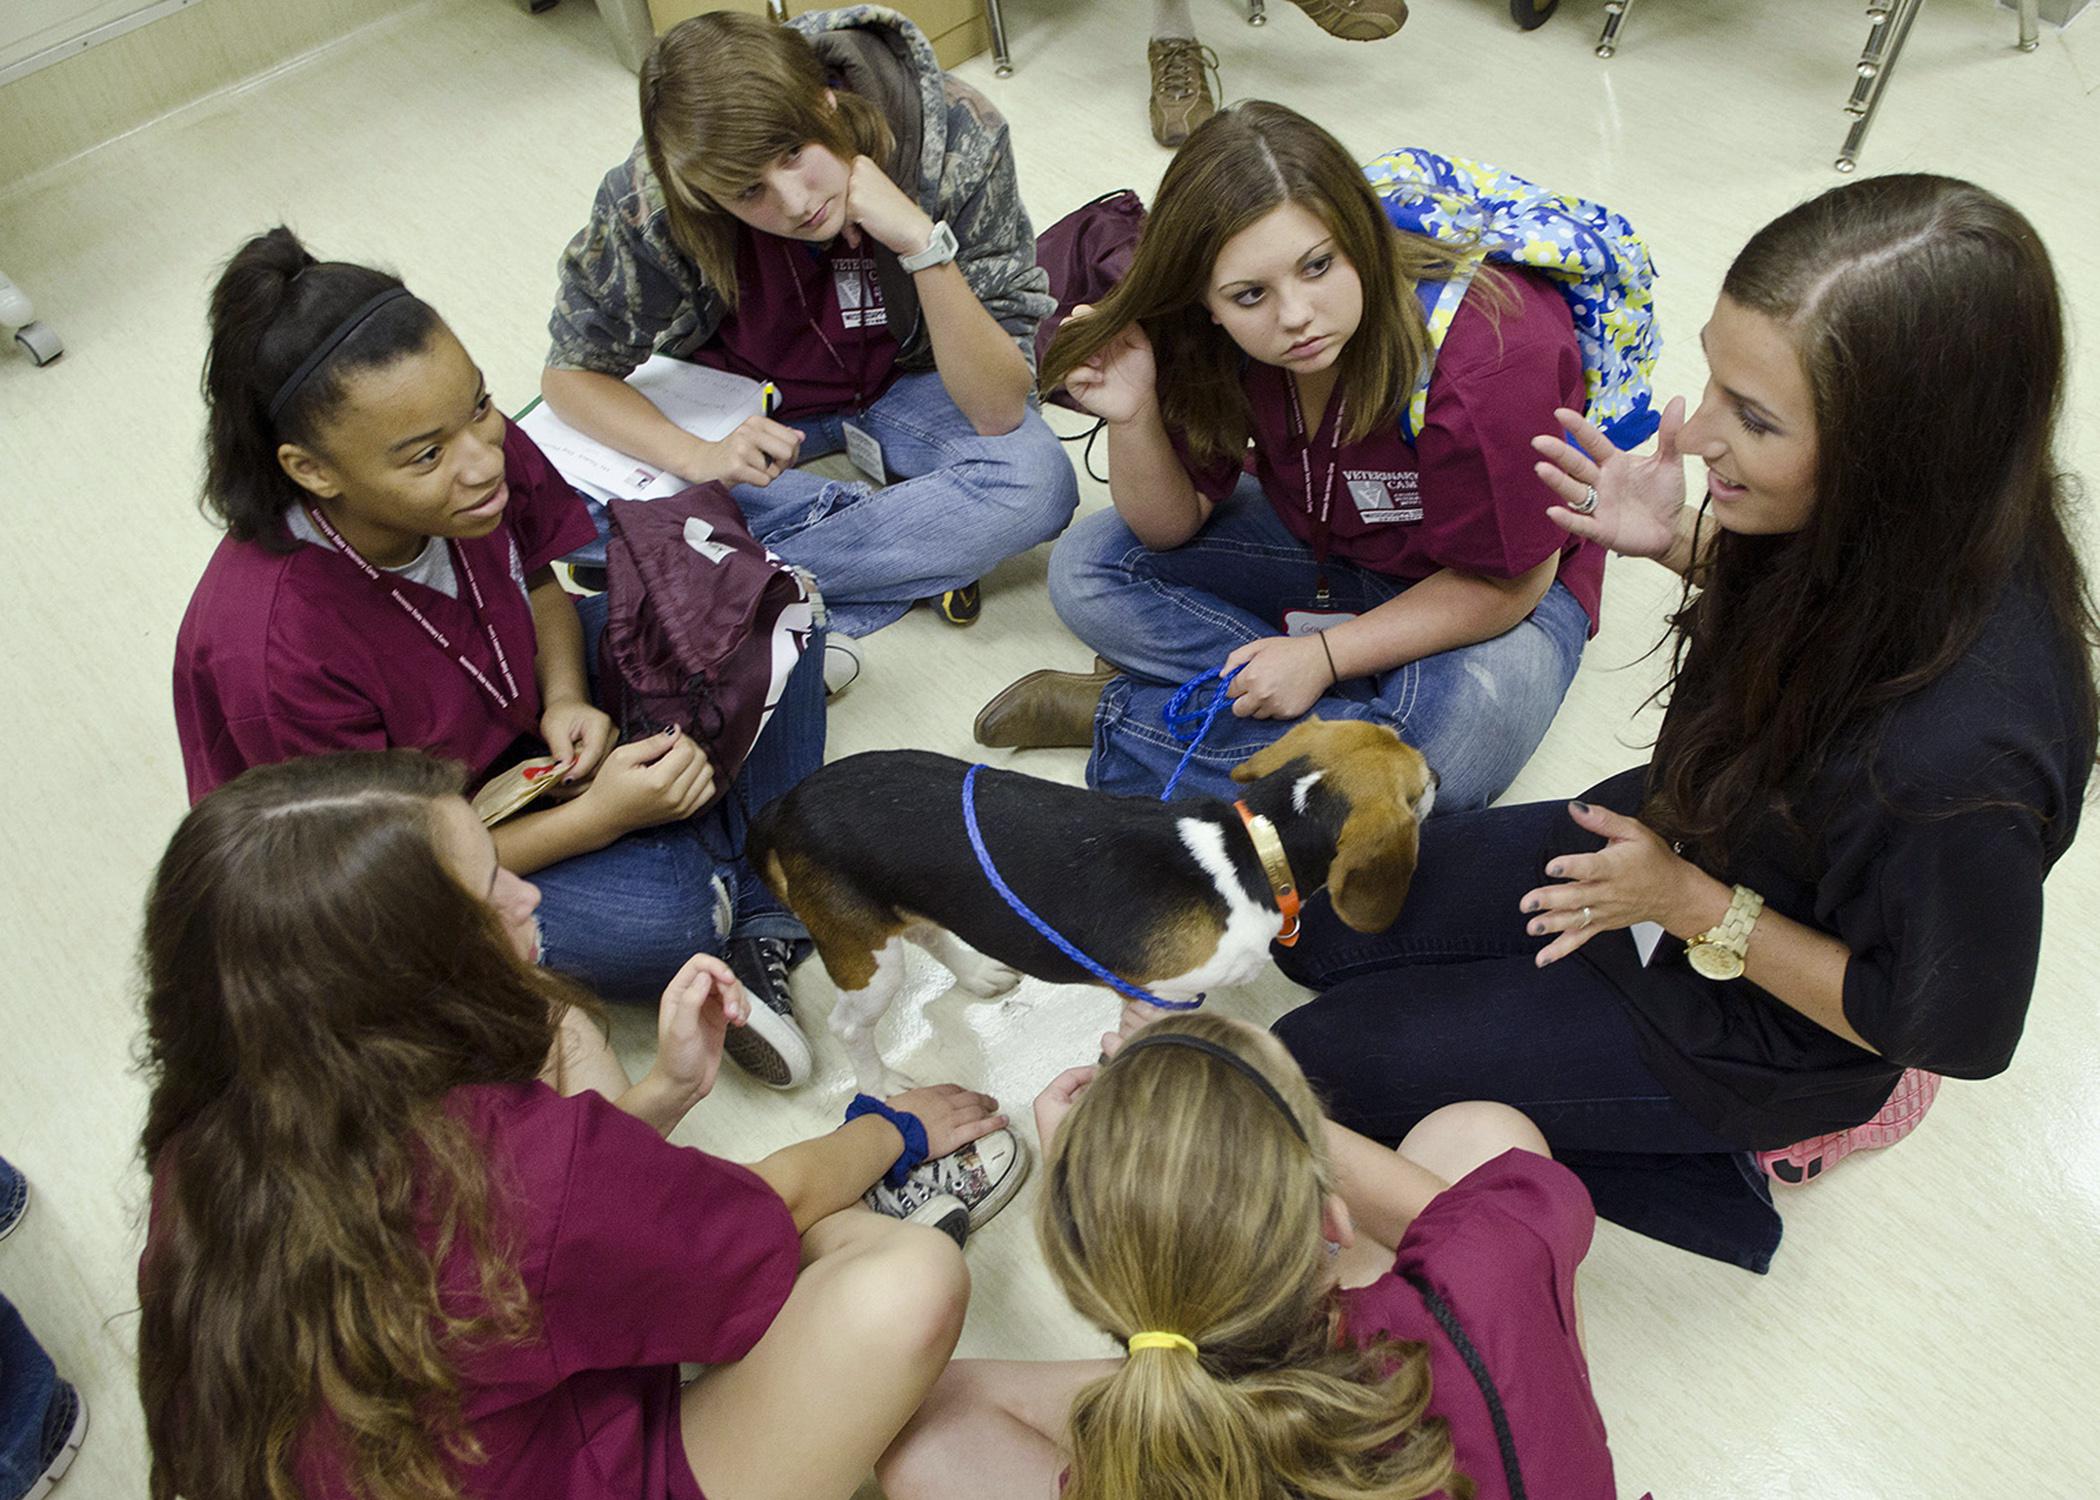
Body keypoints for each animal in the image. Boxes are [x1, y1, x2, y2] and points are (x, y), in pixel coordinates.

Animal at [747, 714, 1436, 1084]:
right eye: (1421, 787)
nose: (1435, 773)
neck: (1256, 846)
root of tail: (785, 802)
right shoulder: (1160, 997)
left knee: (930, 931)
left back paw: (977, 974)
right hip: (867, 957)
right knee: (848, 1025)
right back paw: (885, 1085)